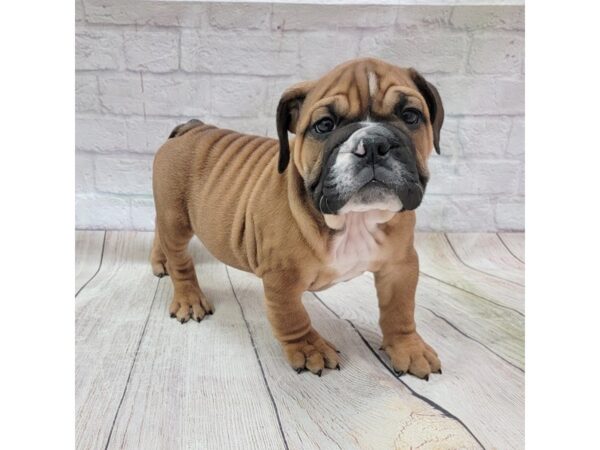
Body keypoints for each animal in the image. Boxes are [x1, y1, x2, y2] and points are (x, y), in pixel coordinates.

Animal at [152, 58, 442, 378]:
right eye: (324, 125)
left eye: (411, 116)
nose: (373, 145)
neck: (354, 219)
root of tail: (191, 127)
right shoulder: (282, 278)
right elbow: (292, 316)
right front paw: (309, 348)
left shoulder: (399, 265)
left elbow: (400, 310)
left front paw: (408, 347)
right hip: (176, 217)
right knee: (180, 259)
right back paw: (188, 297)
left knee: (159, 233)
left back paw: (160, 262)